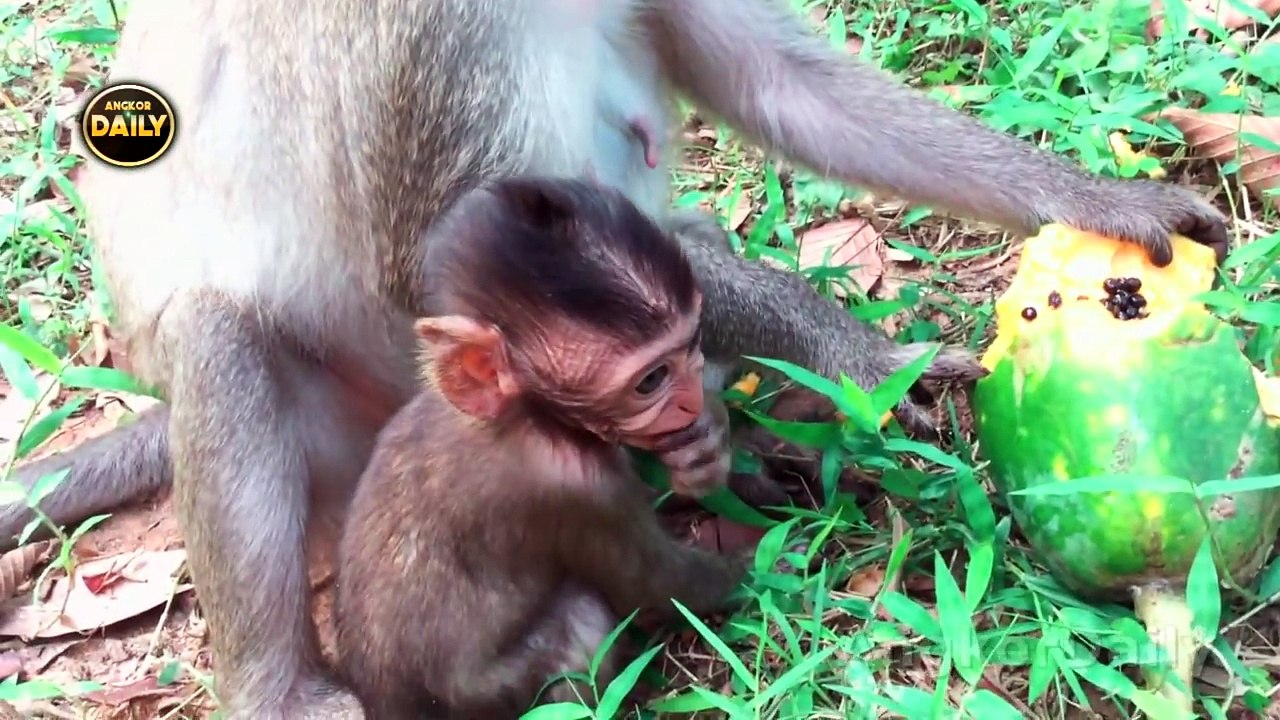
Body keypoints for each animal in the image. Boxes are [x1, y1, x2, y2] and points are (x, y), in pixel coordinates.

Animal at [334, 175, 749, 720]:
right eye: (651, 380)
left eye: (693, 344)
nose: (690, 400)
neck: (524, 416)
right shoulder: (575, 491)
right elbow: (656, 585)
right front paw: (767, 563)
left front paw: (706, 443)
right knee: (582, 617)